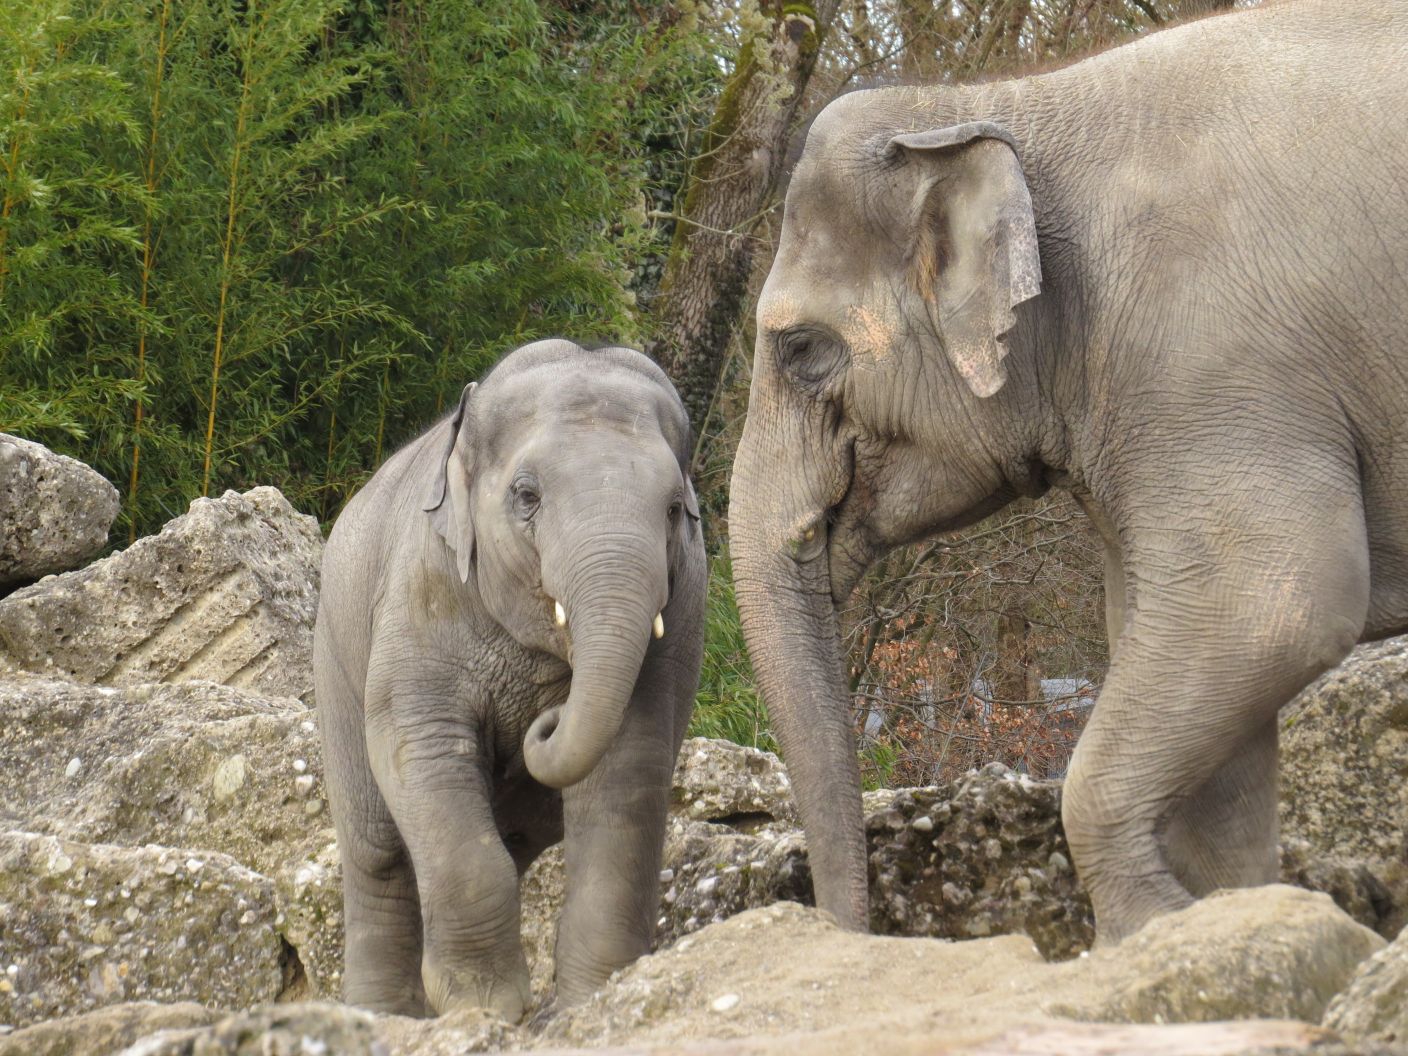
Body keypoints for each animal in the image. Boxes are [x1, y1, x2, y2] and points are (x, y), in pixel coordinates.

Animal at [309, 343, 704, 1019]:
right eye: (526, 496)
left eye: (675, 509)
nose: (545, 719)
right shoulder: (423, 589)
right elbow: (422, 751)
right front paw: (484, 1006)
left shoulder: (677, 620)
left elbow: (629, 766)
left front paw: (593, 1000)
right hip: (335, 657)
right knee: (377, 850)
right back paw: (384, 1015)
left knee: (517, 835)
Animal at [732, 0, 1408, 946]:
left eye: (801, 351)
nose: (850, 935)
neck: (1001, 105)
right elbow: (1171, 642)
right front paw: (1223, 920)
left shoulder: (1212, 357)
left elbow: (1275, 603)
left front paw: (1155, 928)